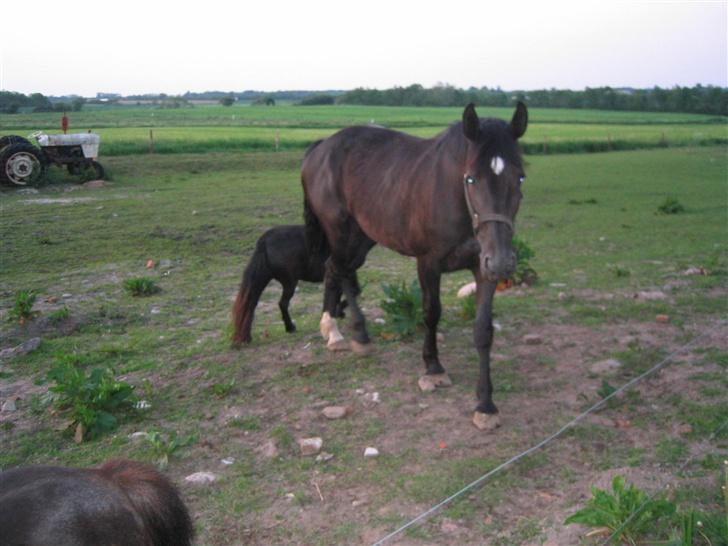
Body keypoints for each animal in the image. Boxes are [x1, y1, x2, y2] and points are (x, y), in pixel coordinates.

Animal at [302, 102, 528, 430]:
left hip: (362, 237)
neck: (453, 197)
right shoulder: (428, 263)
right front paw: (433, 368)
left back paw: (336, 330)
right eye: (471, 179)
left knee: (335, 268)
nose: (501, 261)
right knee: (338, 268)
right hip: (339, 231)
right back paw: (352, 334)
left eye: (520, 177)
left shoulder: (483, 268)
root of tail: (321, 147)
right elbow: (431, 313)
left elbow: (483, 331)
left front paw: (485, 404)